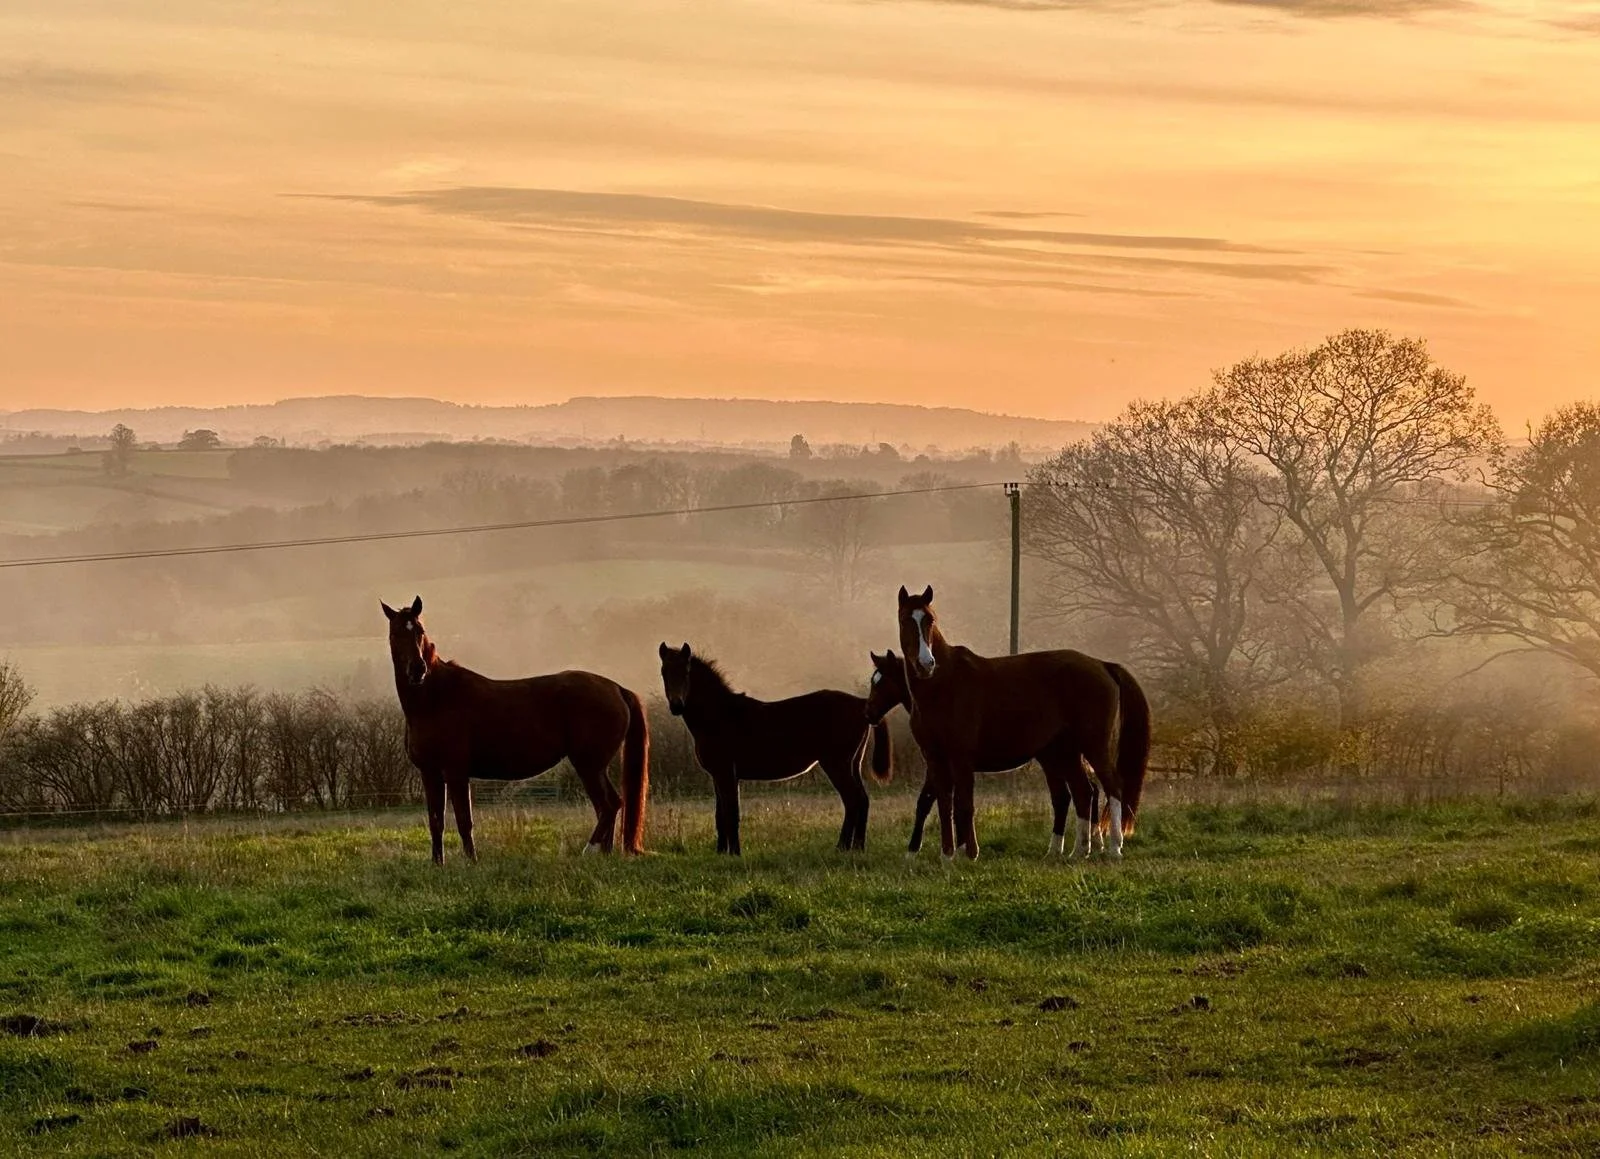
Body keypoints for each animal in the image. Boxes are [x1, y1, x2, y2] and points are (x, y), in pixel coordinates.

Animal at [383, 596, 650, 862]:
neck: (435, 700)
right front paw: (438, 863)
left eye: (420, 630)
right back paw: (605, 853)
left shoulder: (455, 772)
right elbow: (436, 822)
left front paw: (471, 861)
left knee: (608, 806)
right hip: (594, 767)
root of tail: (617, 688)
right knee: (610, 805)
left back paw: (589, 850)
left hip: (589, 765)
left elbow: (464, 821)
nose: (418, 669)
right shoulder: (430, 773)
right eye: (395, 633)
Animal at [658, 642, 890, 854]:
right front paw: (721, 852)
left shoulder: (726, 773)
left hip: (836, 764)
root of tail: (862, 704)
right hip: (853, 764)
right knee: (862, 800)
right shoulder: (717, 775)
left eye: (686, 671)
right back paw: (857, 847)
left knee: (852, 800)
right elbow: (720, 815)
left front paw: (735, 853)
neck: (720, 716)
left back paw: (842, 847)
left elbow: (732, 813)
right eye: (663, 672)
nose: (676, 706)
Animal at [865, 648, 1100, 858]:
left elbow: (931, 802)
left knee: (1082, 791)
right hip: (1052, 758)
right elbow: (948, 803)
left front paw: (917, 850)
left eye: (882, 682)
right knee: (1073, 794)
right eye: (873, 681)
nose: (869, 714)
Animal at [893, 585, 1150, 860]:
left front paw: (969, 854)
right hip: (1065, 752)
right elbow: (943, 805)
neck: (944, 685)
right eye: (904, 620)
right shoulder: (934, 758)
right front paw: (947, 856)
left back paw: (1114, 848)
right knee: (1083, 792)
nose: (926, 664)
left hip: (1094, 746)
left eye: (930, 620)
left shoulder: (961, 758)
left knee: (1113, 788)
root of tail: (1102, 665)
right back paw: (1078, 851)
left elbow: (964, 804)